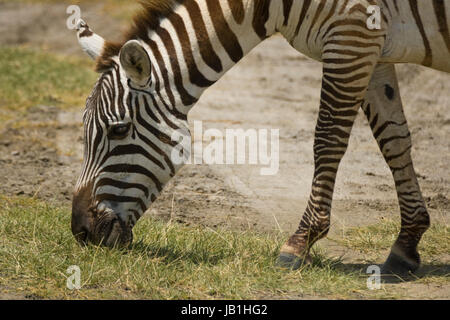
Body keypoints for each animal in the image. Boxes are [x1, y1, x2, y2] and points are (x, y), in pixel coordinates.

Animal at [72, 0, 448, 276]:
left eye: (119, 130)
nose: (80, 232)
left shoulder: (351, 36)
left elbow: (328, 138)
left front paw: (300, 242)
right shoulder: (372, 50)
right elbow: (393, 139)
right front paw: (406, 245)